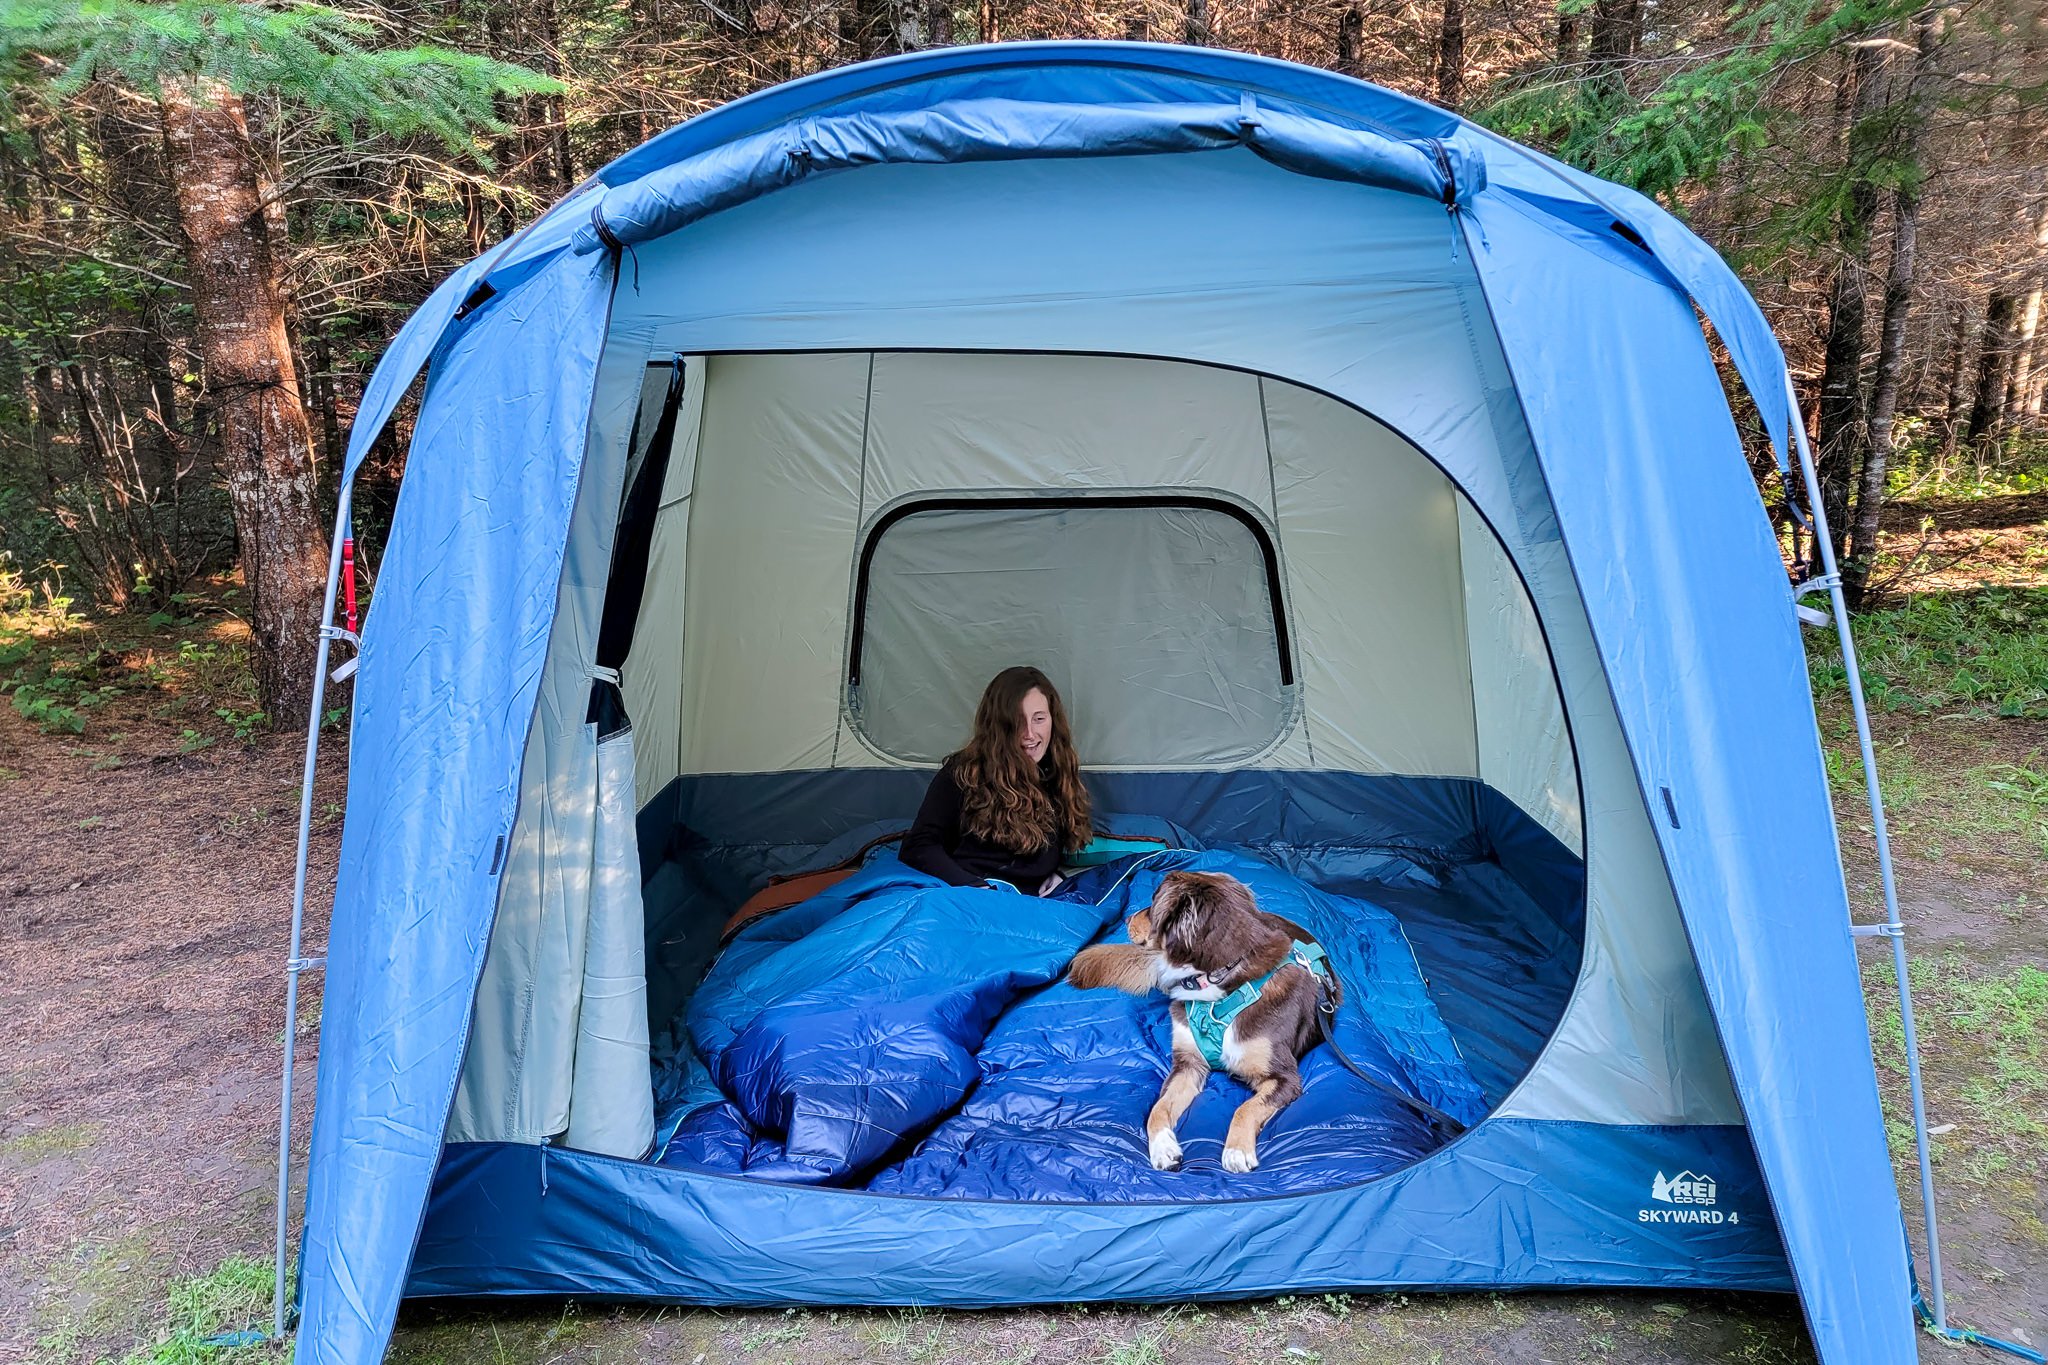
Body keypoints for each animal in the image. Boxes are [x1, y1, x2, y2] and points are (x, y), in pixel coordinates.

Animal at [1064, 875, 1335, 1178]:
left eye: (1154, 902)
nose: (1127, 919)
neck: (1217, 982)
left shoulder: (1285, 1078)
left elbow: (1245, 1108)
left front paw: (1236, 1151)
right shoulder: (1188, 1065)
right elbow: (1157, 1110)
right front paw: (1163, 1149)